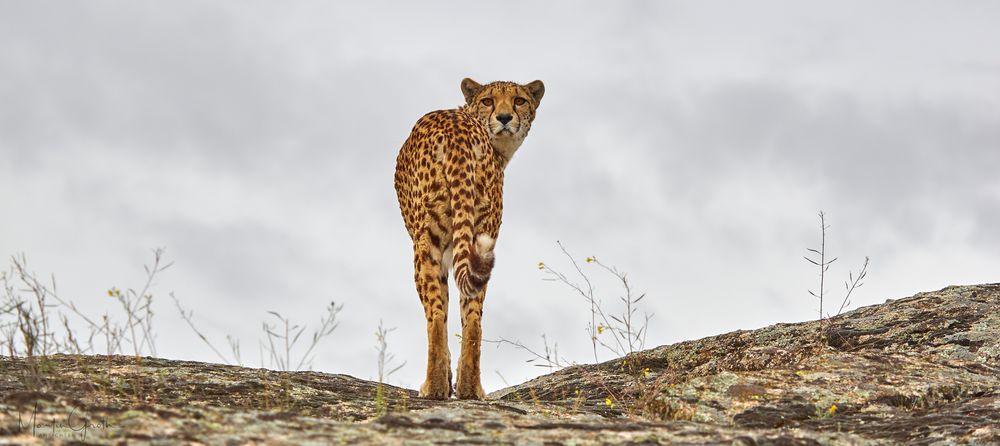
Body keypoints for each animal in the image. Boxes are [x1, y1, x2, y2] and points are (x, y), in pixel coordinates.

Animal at [392, 78, 548, 398]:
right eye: (488, 101)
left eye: (519, 100)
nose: (504, 118)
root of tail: (457, 134)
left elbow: (440, 310)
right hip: (481, 238)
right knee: (474, 316)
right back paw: (470, 388)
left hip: (425, 244)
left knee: (436, 315)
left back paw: (434, 386)